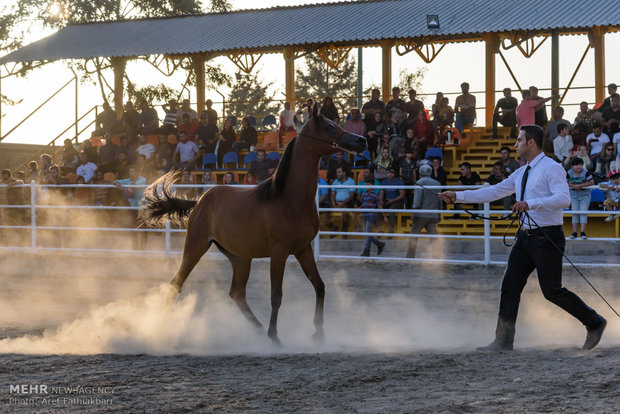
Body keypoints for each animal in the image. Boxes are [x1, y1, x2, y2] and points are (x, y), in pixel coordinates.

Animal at [141, 108, 366, 344]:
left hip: (240, 257)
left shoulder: (303, 248)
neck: (288, 198)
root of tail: (201, 200)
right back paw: (162, 328)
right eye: (330, 127)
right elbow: (276, 295)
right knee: (177, 284)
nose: (362, 140)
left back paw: (257, 329)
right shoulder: (279, 252)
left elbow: (319, 286)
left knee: (237, 293)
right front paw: (274, 336)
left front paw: (319, 333)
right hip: (195, 246)